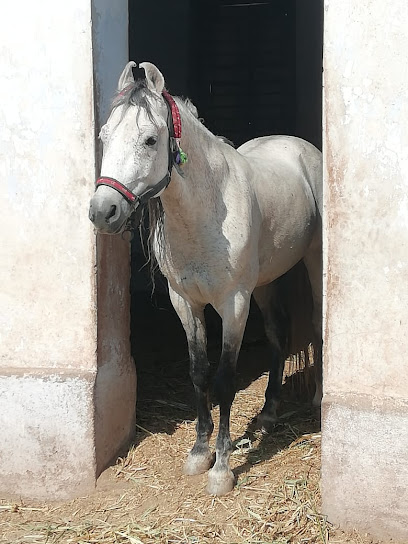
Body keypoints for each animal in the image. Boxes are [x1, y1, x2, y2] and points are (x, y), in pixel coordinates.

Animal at [89, 61, 322, 496]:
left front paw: (222, 469)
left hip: (311, 265)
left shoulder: (233, 304)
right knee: (278, 335)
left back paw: (317, 400)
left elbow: (225, 380)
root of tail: (297, 146)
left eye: (150, 139)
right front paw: (199, 453)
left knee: (316, 325)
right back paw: (268, 414)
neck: (206, 211)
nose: (102, 211)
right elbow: (199, 373)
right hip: (264, 285)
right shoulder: (186, 302)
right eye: (104, 136)